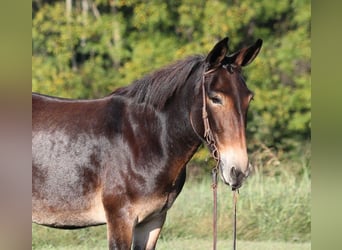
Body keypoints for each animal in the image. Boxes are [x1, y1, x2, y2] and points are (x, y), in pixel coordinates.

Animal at [32, 37, 262, 250]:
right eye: (215, 98)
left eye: (249, 98)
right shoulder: (121, 220)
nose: (239, 172)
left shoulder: (153, 220)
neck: (147, 140)